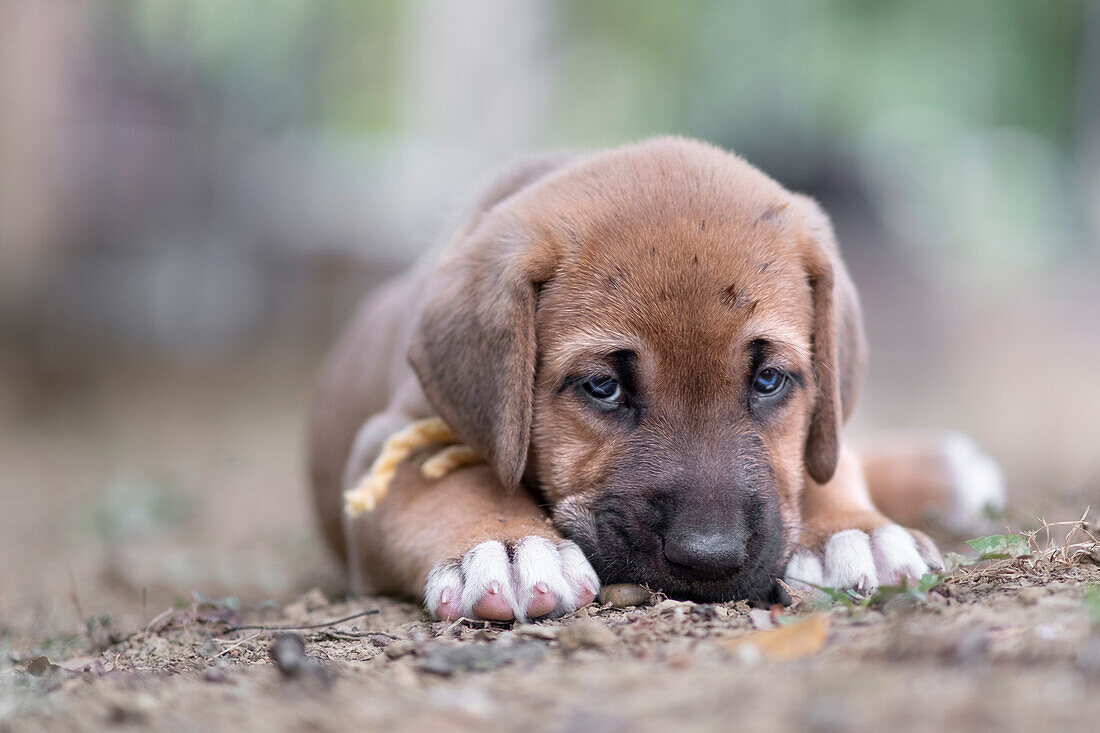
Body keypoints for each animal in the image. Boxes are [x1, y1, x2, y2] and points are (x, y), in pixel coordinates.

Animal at [305, 137, 1003, 616]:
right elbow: (457, 484)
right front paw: (505, 549)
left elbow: (822, 468)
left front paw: (853, 531)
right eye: (602, 387)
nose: (710, 558)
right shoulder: (389, 444)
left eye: (770, 380)